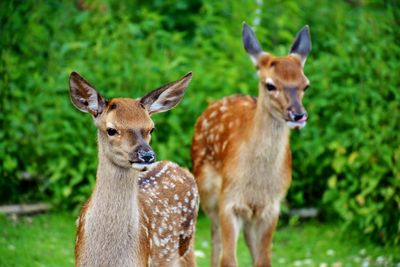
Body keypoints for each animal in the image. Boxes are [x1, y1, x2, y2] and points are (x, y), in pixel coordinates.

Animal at [191, 23, 312, 267]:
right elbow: (228, 259)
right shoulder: (229, 201)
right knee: (215, 239)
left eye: (306, 85)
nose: (298, 115)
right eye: (270, 85)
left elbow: (263, 259)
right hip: (207, 192)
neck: (256, 185)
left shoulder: (271, 207)